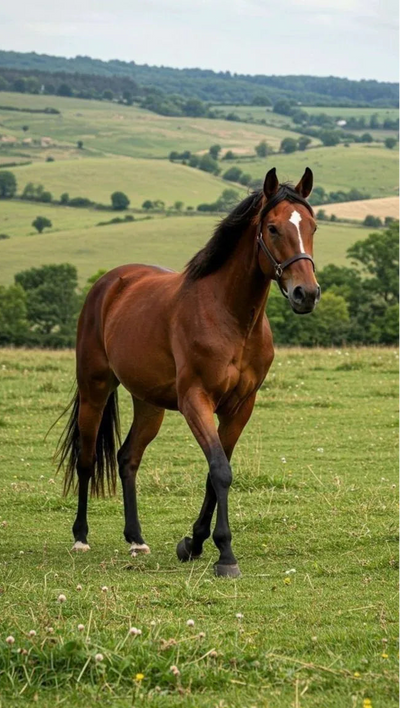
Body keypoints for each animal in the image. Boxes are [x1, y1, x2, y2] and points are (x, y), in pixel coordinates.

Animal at [57, 167, 320, 578]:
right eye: (273, 228)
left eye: (312, 226)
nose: (305, 293)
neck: (229, 315)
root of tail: (110, 283)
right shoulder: (196, 400)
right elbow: (220, 470)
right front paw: (224, 555)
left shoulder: (240, 408)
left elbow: (217, 472)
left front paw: (194, 542)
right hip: (94, 389)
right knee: (86, 459)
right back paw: (81, 536)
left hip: (149, 403)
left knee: (128, 458)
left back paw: (136, 538)